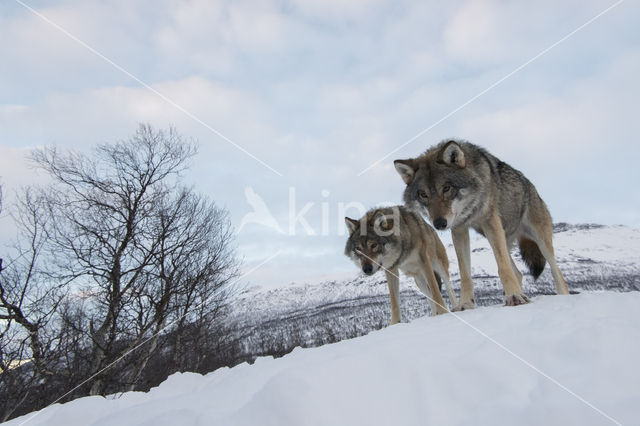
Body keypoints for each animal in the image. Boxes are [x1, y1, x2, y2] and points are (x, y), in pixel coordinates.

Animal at [396, 140, 568, 310]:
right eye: (423, 194)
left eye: (446, 188)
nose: (439, 223)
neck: (470, 207)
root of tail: (529, 184)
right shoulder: (459, 230)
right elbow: (465, 274)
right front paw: (466, 303)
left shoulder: (490, 221)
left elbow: (502, 267)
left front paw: (514, 296)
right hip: (504, 240)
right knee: (518, 273)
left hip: (540, 241)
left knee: (557, 273)